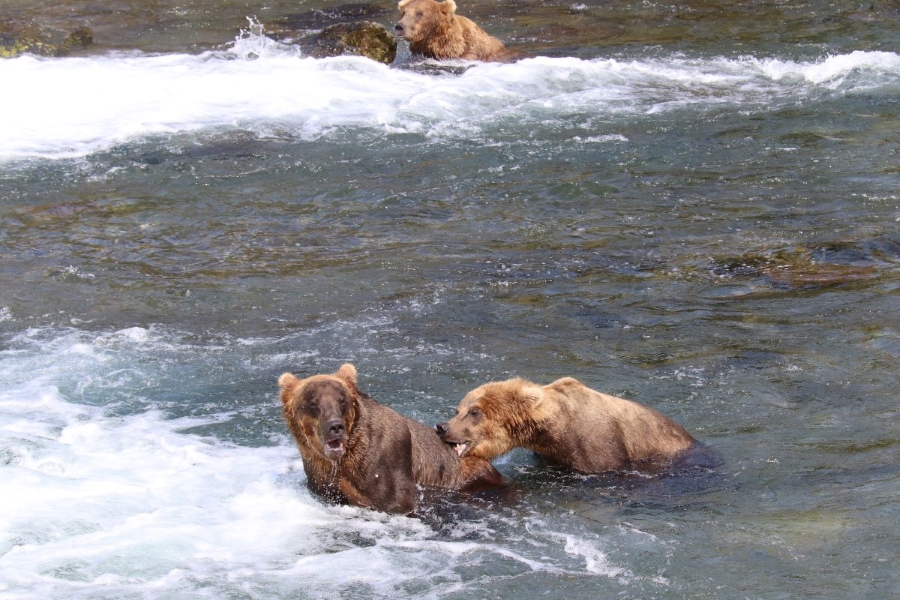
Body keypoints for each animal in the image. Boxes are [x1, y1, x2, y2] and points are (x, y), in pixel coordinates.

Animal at [280, 364, 506, 512]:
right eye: (313, 402)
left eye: (341, 400)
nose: (335, 426)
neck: (342, 461)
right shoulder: (319, 475)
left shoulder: (386, 460)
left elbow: (395, 500)